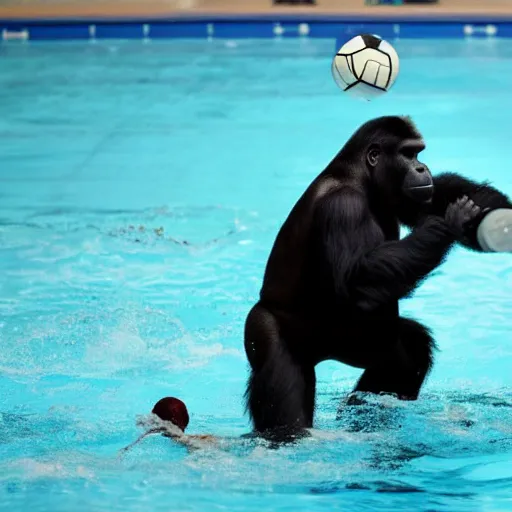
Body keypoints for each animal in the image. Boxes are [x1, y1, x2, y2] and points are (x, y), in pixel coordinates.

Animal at [243, 116, 512, 440]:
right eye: (409, 154)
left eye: (419, 153)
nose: (422, 167)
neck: (360, 178)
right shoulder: (343, 207)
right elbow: (356, 277)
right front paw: (448, 223)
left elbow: (441, 195)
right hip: (265, 330)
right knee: (286, 407)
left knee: (407, 353)